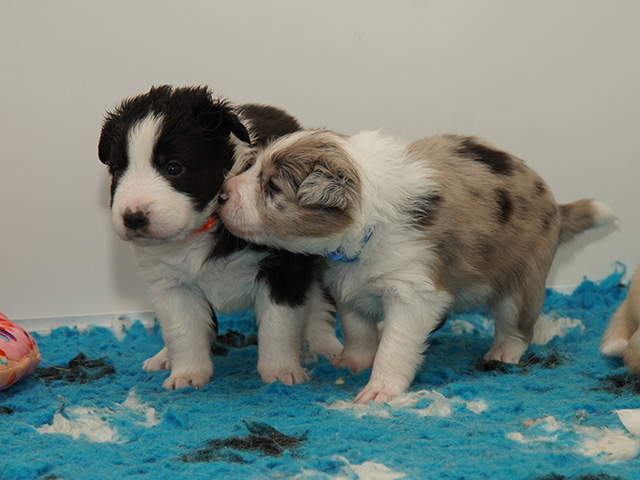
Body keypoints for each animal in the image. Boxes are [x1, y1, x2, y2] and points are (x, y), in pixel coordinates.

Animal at [98, 86, 341, 390]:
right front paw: (187, 374)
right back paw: (164, 357)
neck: (202, 228)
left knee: (318, 305)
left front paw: (281, 372)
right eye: (117, 170)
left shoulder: (283, 270)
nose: (132, 218)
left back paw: (326, 347)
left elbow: (278, 325)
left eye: (173, 167)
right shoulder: (170, 285)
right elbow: (183, 330)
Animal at [217, 128, 616, 403]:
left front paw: (379, 391)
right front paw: (351, 362)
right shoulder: (349, 284)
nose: (221, 194)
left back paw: (502, 353)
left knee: (516, 326)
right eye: (252, 167)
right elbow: (358, 328)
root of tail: (556, 206)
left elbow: (394, 344)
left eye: (272, 187)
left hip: (521, 280)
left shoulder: (414, 292)